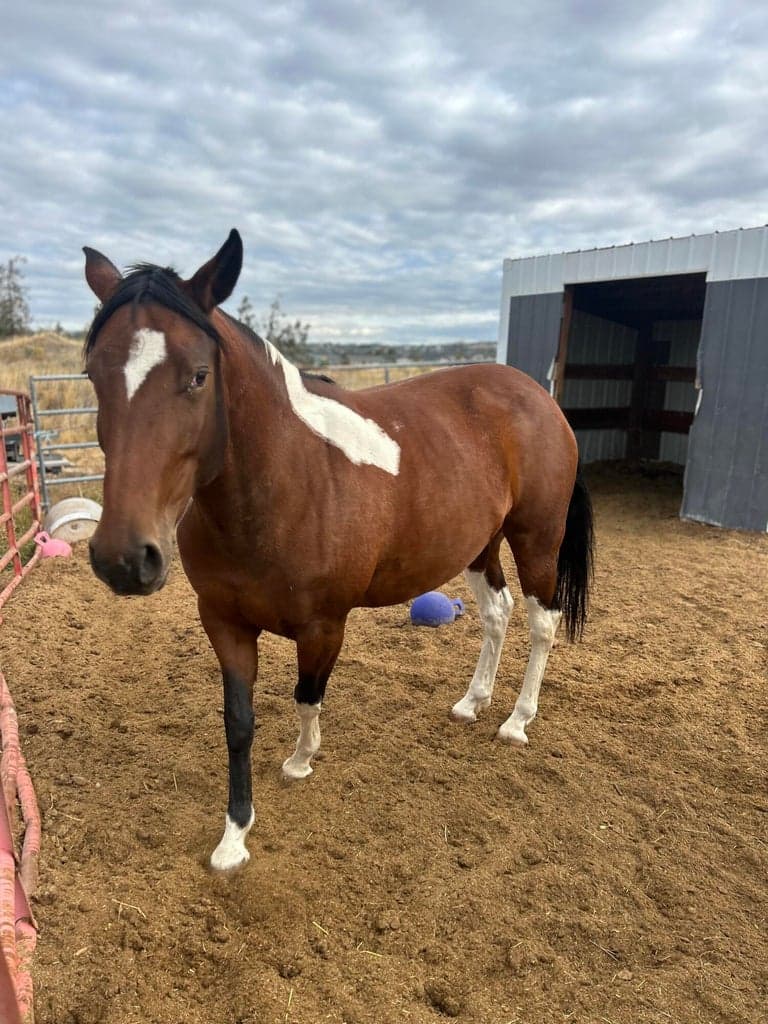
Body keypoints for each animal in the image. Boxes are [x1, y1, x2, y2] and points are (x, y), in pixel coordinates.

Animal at [82, 230, 594, 871]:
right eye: (93, 375)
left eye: (199, 376)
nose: (125, 558)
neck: (281, 485)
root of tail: (536, 395)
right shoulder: (223, 621)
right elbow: (239, 723)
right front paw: (234, 836)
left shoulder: (325, 625)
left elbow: (308, 695)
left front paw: (301, 760)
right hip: (481, 545)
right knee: (497, 615)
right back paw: (471, 702)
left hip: (536, 539)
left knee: (542, 622)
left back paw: (517, 721)